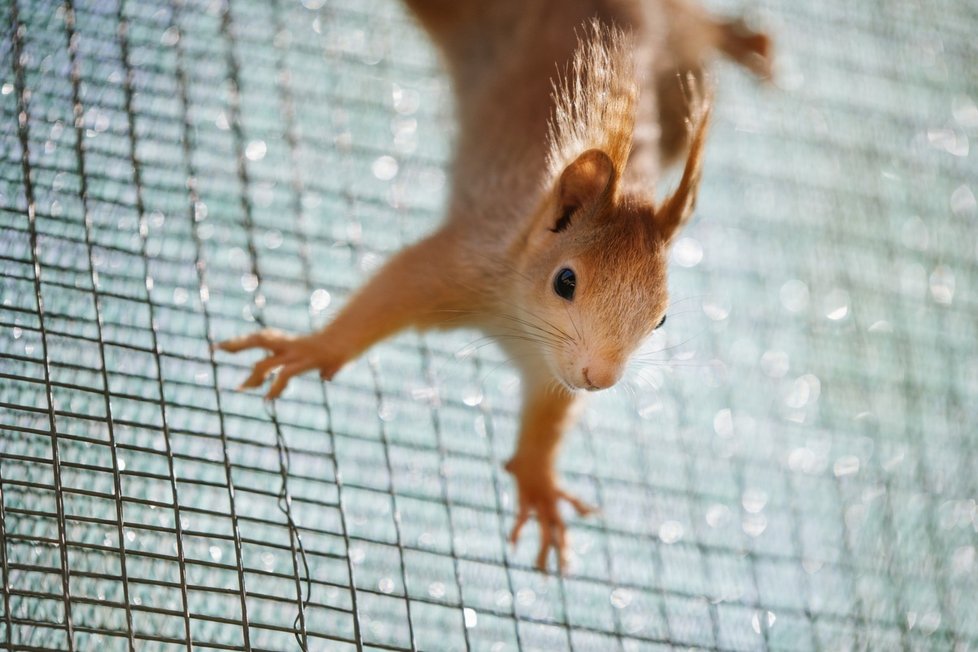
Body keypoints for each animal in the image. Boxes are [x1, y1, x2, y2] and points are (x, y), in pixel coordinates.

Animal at [215, 0, 772, 572]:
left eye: (660, 318)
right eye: (565, 280)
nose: (600, 378)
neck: (517, 322)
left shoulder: (552, 369)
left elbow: (549, 416)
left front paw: (538, 482)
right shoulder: (464, 263)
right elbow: (393, 289)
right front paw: (310, 348)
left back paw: (740, 39)